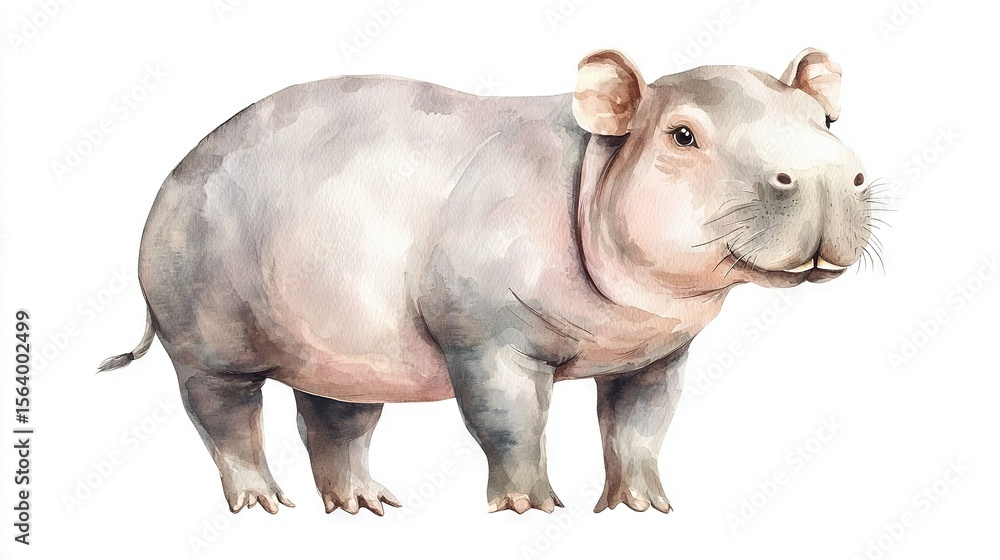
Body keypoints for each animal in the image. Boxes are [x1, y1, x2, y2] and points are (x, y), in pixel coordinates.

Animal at [99, 47, 878, 516]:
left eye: (826, 119)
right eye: (682, 134)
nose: (827, 171)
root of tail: (172, 174)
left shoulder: (656, 356)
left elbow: (640, 428)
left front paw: (643, 511)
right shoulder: (488, 338)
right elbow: (510, 423)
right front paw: (535, 511)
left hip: (339, 354)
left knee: (335, 420)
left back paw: (369, 508)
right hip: (205, 334)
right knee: (224, 415)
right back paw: (265, 506)